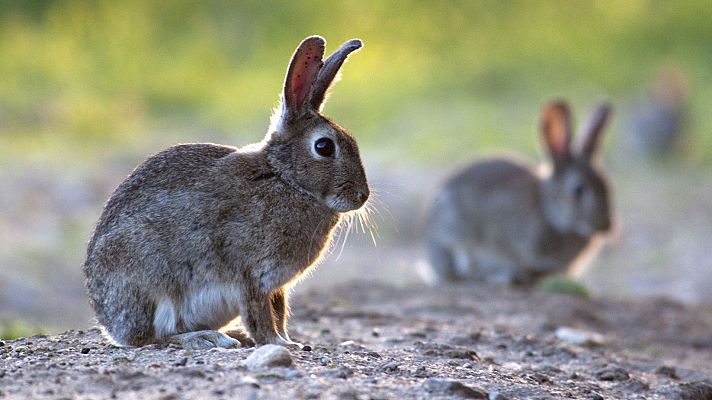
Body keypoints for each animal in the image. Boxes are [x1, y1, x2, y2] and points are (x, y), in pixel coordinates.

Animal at [83, 37, 370, 350]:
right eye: (324, 147)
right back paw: (206, 337)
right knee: (149, 338)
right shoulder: (250, 275)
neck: (286, 179)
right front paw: (279, 344)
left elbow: (279, 312)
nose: (362, 196)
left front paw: (287, 341)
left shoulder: (276, 286)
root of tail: (107, 321)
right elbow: (260, 316)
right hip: (150, 281)